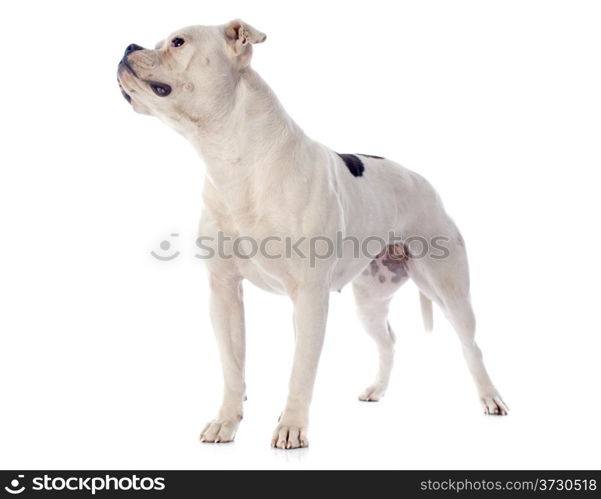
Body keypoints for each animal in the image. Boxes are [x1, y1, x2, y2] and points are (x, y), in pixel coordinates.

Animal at [117, 19, 506, 452]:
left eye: (178, 42)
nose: (128, 46)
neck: (234, 157)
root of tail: (424, 181)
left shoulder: (308, 297)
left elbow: (301, 368)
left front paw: (291, 427)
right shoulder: (224, 292)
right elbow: (232, 366)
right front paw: (226, 421)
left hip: (448, 289)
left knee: (471, 346)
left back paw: (491, 398)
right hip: (370, 300)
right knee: (388, 339)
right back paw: (376, 389)